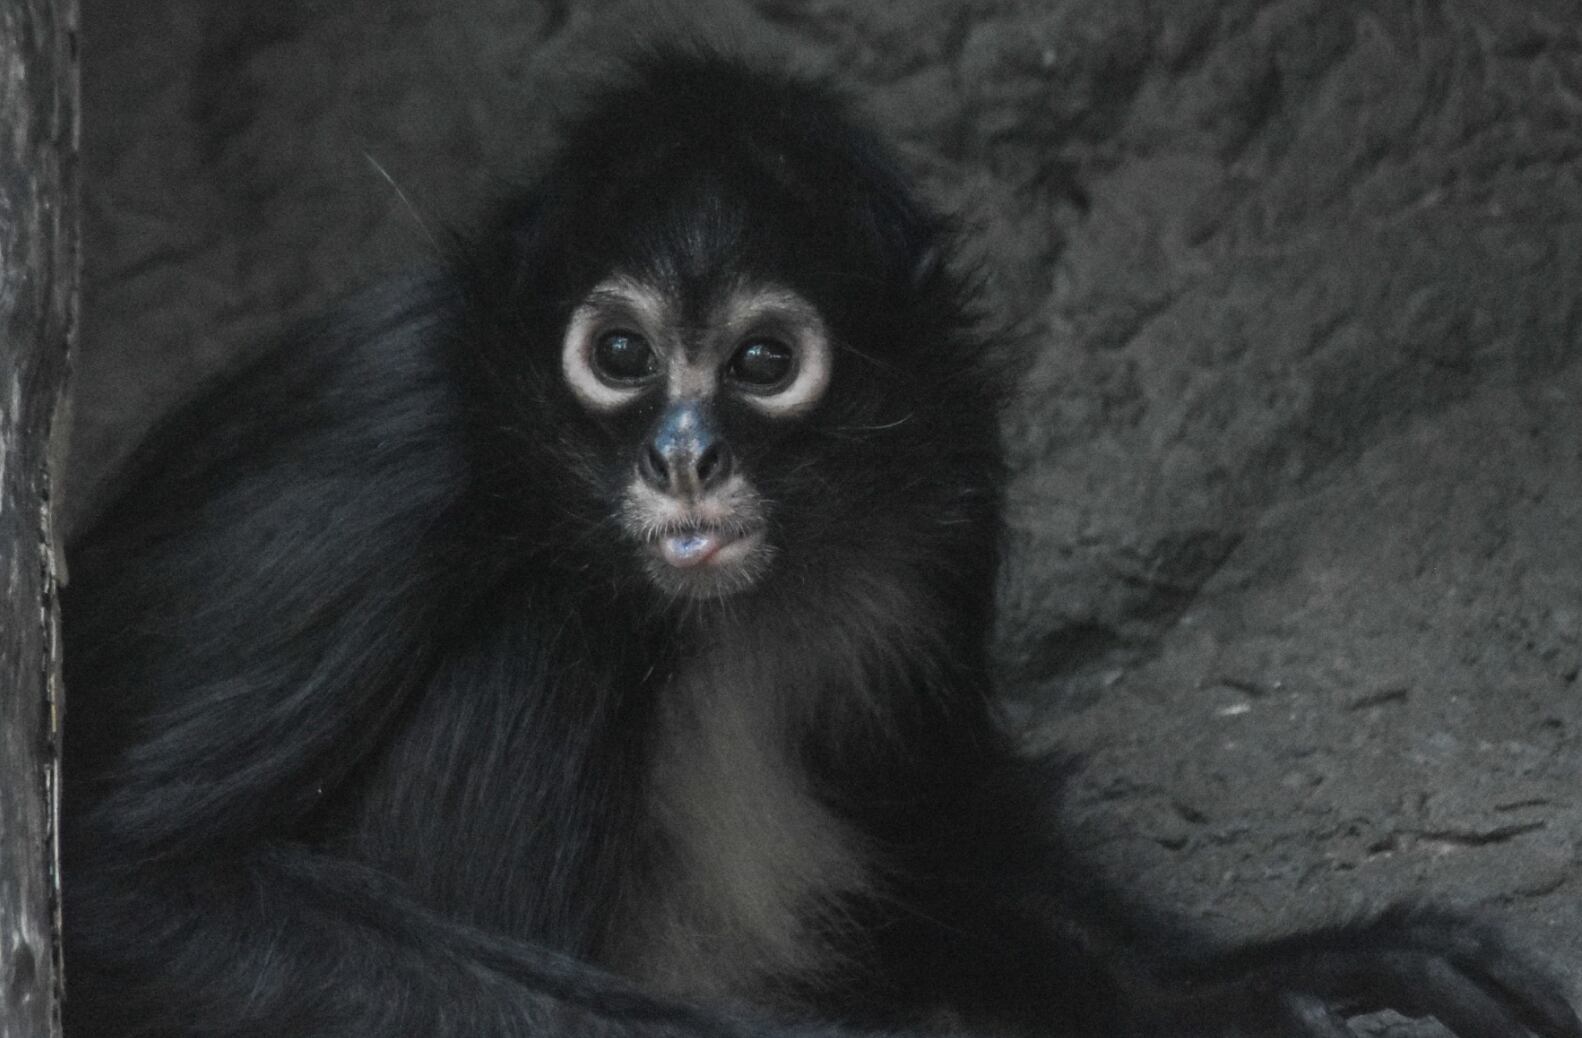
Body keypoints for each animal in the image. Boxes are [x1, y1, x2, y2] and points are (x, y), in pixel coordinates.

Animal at [60, 47, 1580, 1038]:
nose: (684, 455)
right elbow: (112, 889)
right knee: (564, 614)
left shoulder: (954, 459)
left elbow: (927, 812)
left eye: (763, 360)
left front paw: (1279, 973)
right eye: (619, 355)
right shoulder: (391, 435)